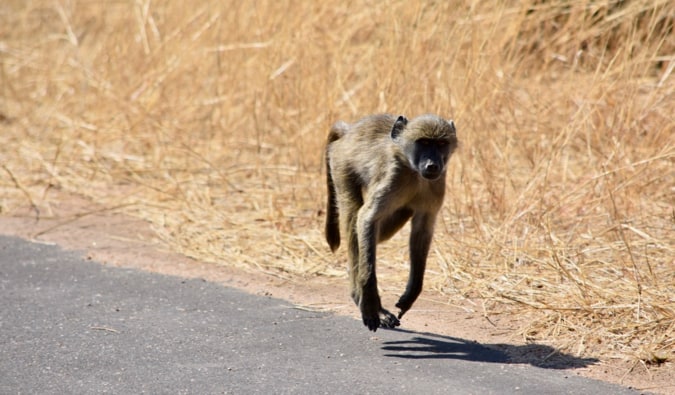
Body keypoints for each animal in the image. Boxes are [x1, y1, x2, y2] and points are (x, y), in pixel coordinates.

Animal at [324, 113, 460, 332]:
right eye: (424, 143)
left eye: (441, 144)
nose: (432, 165)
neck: (413, 172)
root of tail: (349, 131)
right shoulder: (392, 178)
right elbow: (366, 218)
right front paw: (370, 304)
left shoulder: (436, 185)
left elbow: (422, 230)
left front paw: (410, 295)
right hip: (341, 165)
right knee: (354, 217)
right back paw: (360, 295)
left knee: (395, 218)